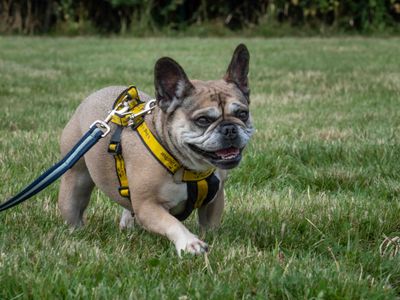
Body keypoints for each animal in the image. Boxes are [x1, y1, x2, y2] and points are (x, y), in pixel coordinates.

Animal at [58, 44, 253, 255]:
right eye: (203, 120)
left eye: (243, 114)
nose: (229, 129)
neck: (189, 168)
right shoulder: (148, 206)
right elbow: (172, 223)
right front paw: (190, 243)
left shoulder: (214, 201)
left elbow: (210, 227)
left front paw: (213, 240)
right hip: (76, 181)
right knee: (73, 206)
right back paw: (76, 235)